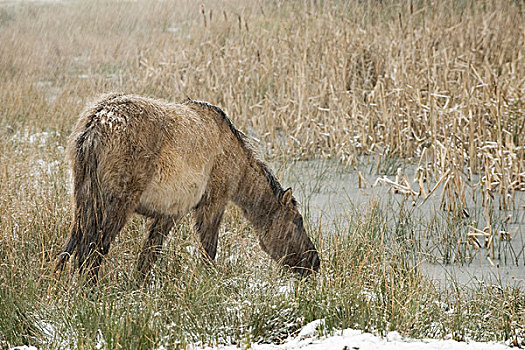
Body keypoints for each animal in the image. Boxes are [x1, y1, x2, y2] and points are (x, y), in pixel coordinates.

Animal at [56, 91, 320, 284]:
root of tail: (94, 124)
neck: (238, 163)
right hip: (116, 202)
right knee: (93, 249)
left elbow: (148, 256)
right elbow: (208, 250)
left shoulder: (170, 211)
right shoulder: (213, 201)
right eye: (297, 221)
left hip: (84, 196)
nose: (314, 262)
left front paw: (138, 286)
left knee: (70, 246)